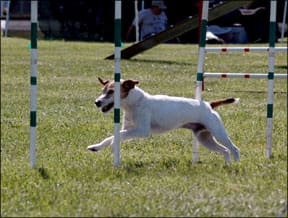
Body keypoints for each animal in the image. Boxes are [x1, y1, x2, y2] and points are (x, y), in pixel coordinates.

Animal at [88, 78, 241, 164]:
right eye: (103, 90)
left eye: (111, 92)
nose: (97, 102)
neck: (137, 102)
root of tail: (209, 104)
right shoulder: (128, 129)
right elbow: (112, 136)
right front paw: (97, 146)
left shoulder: (142, 131)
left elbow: (117, 136)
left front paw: (113, 145)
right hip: (204, 138)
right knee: (225, 151)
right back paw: (227, 165)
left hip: (218, 132)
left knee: (234, 149)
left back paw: (237, 164)